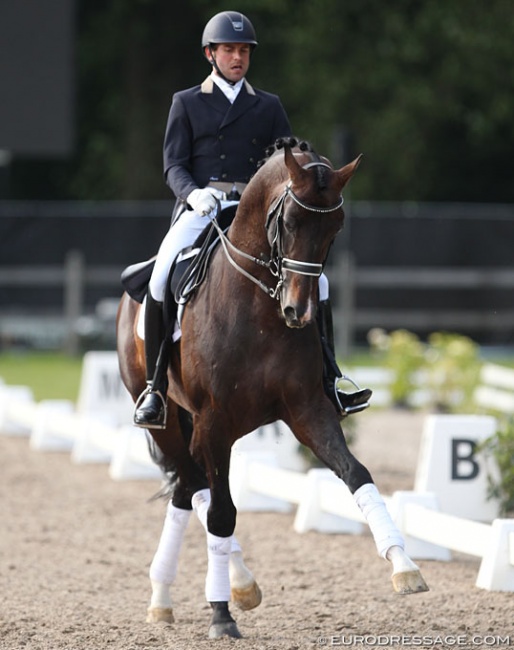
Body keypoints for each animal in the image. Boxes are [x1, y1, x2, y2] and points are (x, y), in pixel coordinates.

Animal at [117, 138, 428, 636]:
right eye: (287, 222)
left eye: (336, 227)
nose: (298, 311)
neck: (258, 308)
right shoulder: (214, 422)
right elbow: (222, 512)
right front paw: (221, 614)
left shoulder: (308, 410)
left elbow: (357, 474)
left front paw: (404, 566)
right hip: (167, 421)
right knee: (196, 487)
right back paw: (201, 589)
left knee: (188, 489)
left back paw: (188, 593)